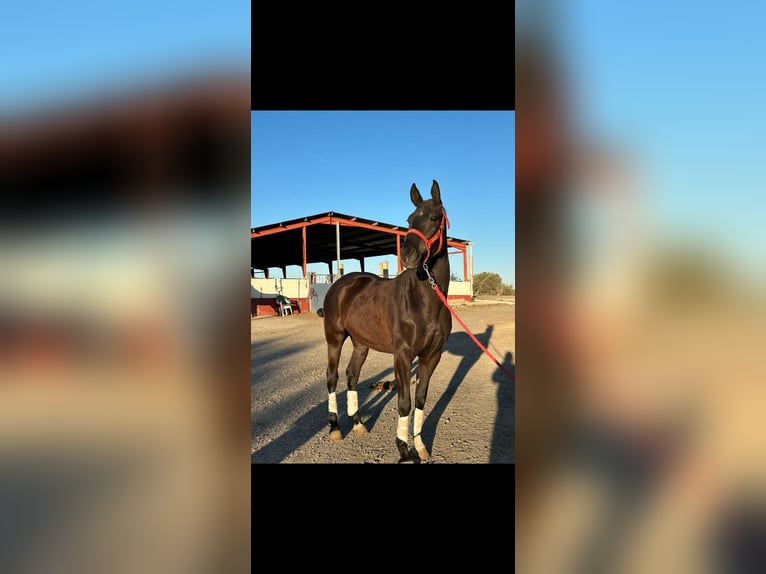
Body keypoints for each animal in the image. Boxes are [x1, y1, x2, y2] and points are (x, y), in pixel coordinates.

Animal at [322, 179, 452, 463]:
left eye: (434, 217)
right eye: (409, 219)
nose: (408, 255)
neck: (426, 302)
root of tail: (341, 283)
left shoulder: (432, 356)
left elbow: (420, 400)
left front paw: (420, 446)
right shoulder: (402, 355)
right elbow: (404, 402)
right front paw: (404, 451)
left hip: (361, 343)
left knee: (351, 375)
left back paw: (358, 423)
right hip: (334, 339)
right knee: (332, 377)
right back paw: (335, 428)